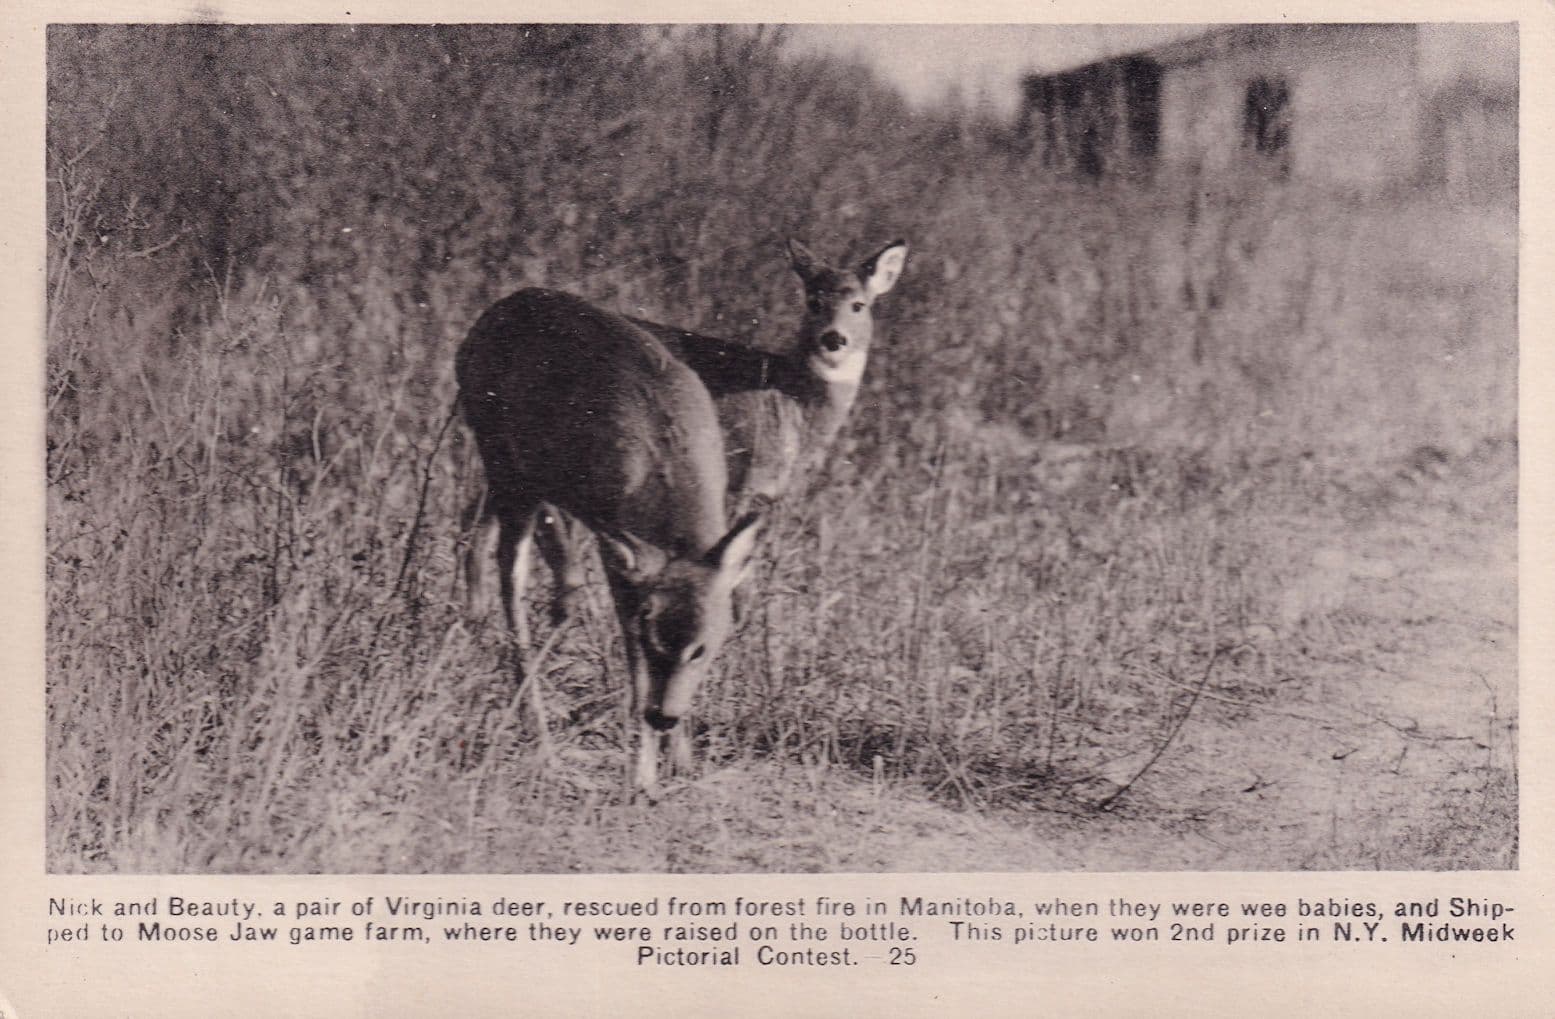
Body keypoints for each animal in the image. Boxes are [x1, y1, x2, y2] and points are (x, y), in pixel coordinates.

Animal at [456, 287, 762, 797]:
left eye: (701, 649)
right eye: (653, 640)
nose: (663, 716)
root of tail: (496, 310)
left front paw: (680, 763)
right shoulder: (617, 549)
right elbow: (633, 671)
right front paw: (642, 778)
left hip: (522, 478)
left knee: (476, 524)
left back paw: (472, 625)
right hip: (505, 461)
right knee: (513, 586)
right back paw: (538, 739)